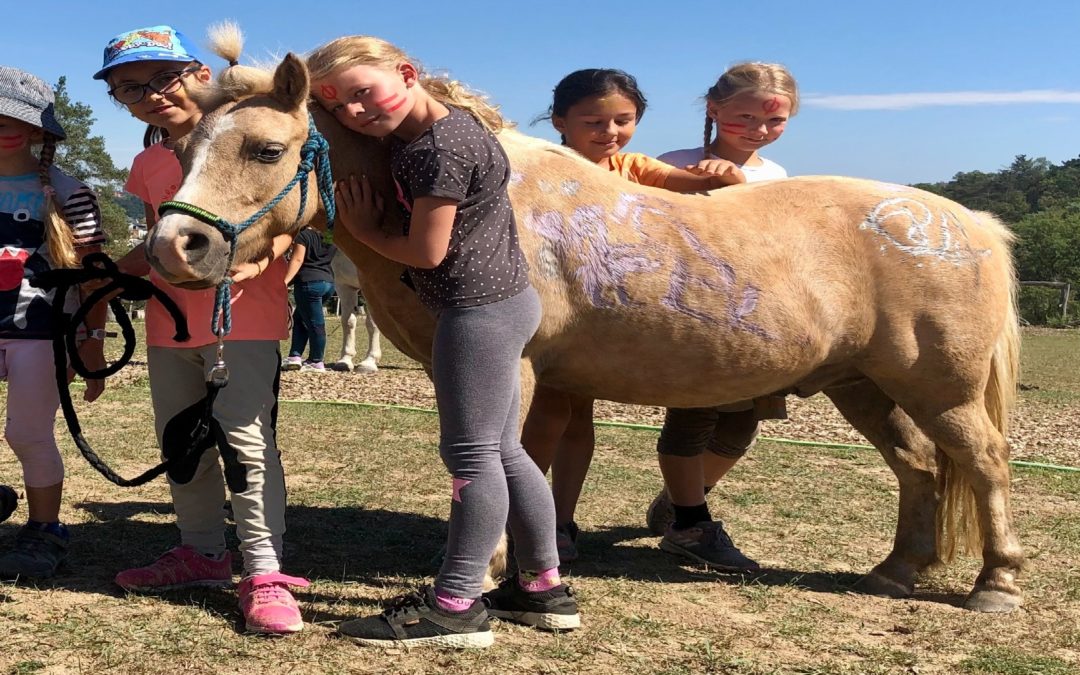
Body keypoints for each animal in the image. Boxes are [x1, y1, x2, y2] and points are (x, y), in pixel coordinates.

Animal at [141, 47, 1019, 609]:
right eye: (187, 147)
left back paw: (995, 582)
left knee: (981, 461)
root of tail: (964, 221)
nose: (175, 246)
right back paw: (897, 569)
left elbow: (498, 463)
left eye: (266, 148)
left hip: (939, 390)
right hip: (862, 386)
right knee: (918, 467)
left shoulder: (511, 368)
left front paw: (488, 570)